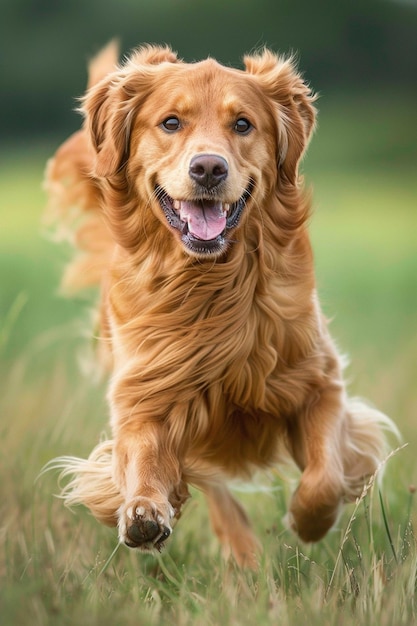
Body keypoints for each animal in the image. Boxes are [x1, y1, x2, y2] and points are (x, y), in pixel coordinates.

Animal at [45, 40, 396, 564]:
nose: (208, 168)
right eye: (171, 122)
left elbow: (326, 475)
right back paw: (238, 547)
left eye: (243, 124)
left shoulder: (318, 381)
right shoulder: (145, 391)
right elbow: (142, 457)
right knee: (213, 490)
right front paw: (143, 510)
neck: (212, 285)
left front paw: (308, 521)